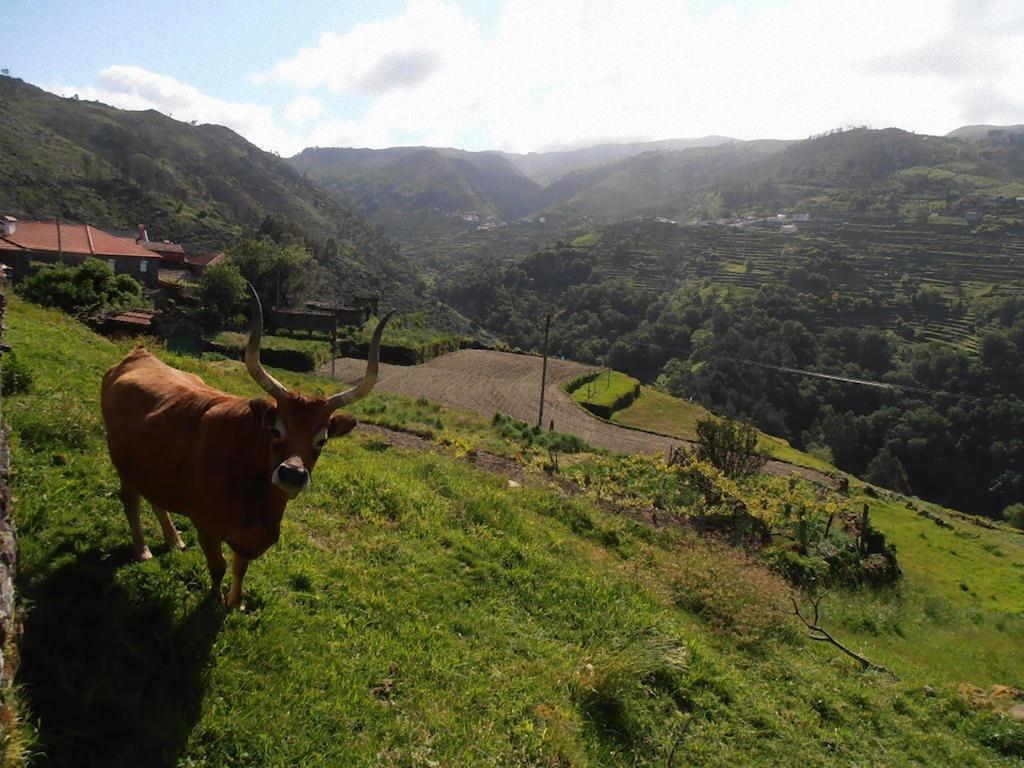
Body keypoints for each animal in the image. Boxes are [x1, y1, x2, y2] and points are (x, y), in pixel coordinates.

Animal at [101, 286, 391, 610]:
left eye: (322, 440)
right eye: (276, 429)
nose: (292, 474)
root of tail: (140, 353)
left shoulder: (251, 538)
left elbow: (240, 567)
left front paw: (235, 602)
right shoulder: (207, 526)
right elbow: (218, 566)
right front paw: (214, 600)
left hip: (153, 468)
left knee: (156, 499)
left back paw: (174, 540)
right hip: (121, 461)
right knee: (132, 502)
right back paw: (142, 549)